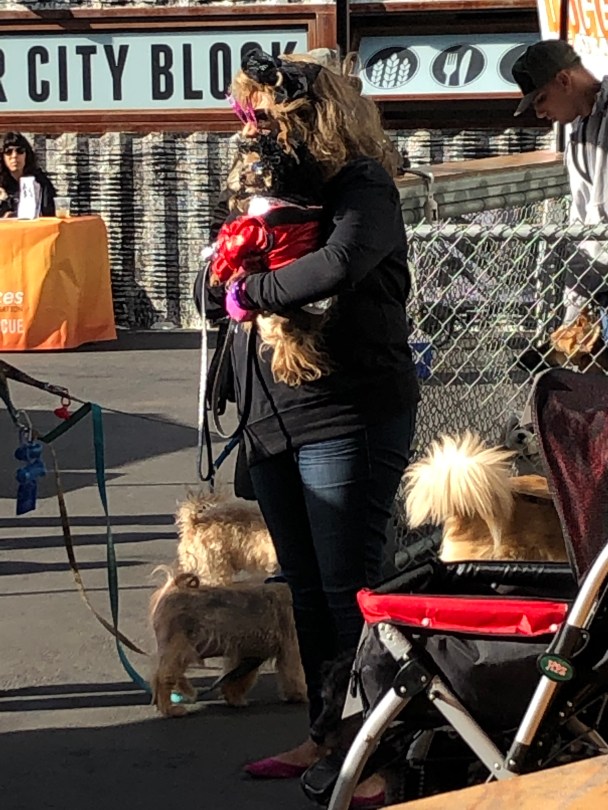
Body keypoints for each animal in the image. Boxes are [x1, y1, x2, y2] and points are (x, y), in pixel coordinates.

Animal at [149, 570, 307, 717]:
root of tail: (171, 590)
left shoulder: (246, 655)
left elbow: (237, 678)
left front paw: (234, 698)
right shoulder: (291, 647)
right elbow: (295, 674)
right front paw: (300, 695)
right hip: (180, 649)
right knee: (163, 678)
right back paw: (170, 709)